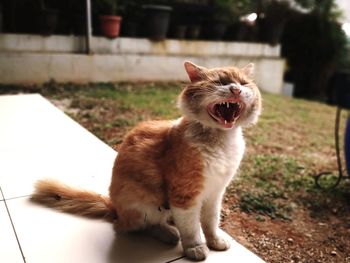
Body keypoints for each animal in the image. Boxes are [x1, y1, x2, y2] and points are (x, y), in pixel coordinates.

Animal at [31, 62, 262, 262]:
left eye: (243, 83)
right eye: (220, 82)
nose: (235, 90)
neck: (221, 143)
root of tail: (114, 208)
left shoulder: (215, 193)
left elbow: (210, 222)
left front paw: (215, 242)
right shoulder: (185, 196)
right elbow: (191, 229)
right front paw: (195, 248)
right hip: (143, 203)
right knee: (138, 227)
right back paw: (169, 233)